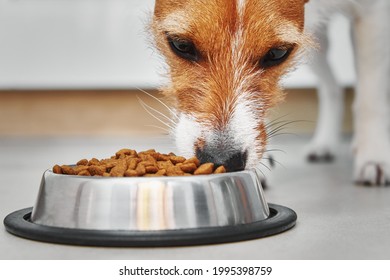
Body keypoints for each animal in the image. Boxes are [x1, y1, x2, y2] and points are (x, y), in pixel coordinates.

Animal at [151, 0, 388, 186]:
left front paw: (373, 156)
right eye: (180, 45)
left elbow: (370, 98)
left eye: (277, 53)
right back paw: (324, 143)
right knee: (332, 87)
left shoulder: (374, 13)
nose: (221, 160)